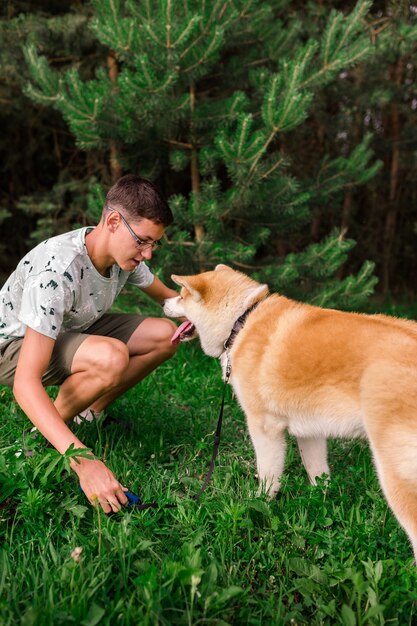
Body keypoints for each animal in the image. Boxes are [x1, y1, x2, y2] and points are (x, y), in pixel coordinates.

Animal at [163, 262, 417, 556]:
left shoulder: (264, 428)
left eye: (181, 296)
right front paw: (321, 503)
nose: (163, 302)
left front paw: (258, 504)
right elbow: (319, 475)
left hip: (396, 473)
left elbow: (267, 477)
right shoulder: (311, 431)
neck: (241, 321)